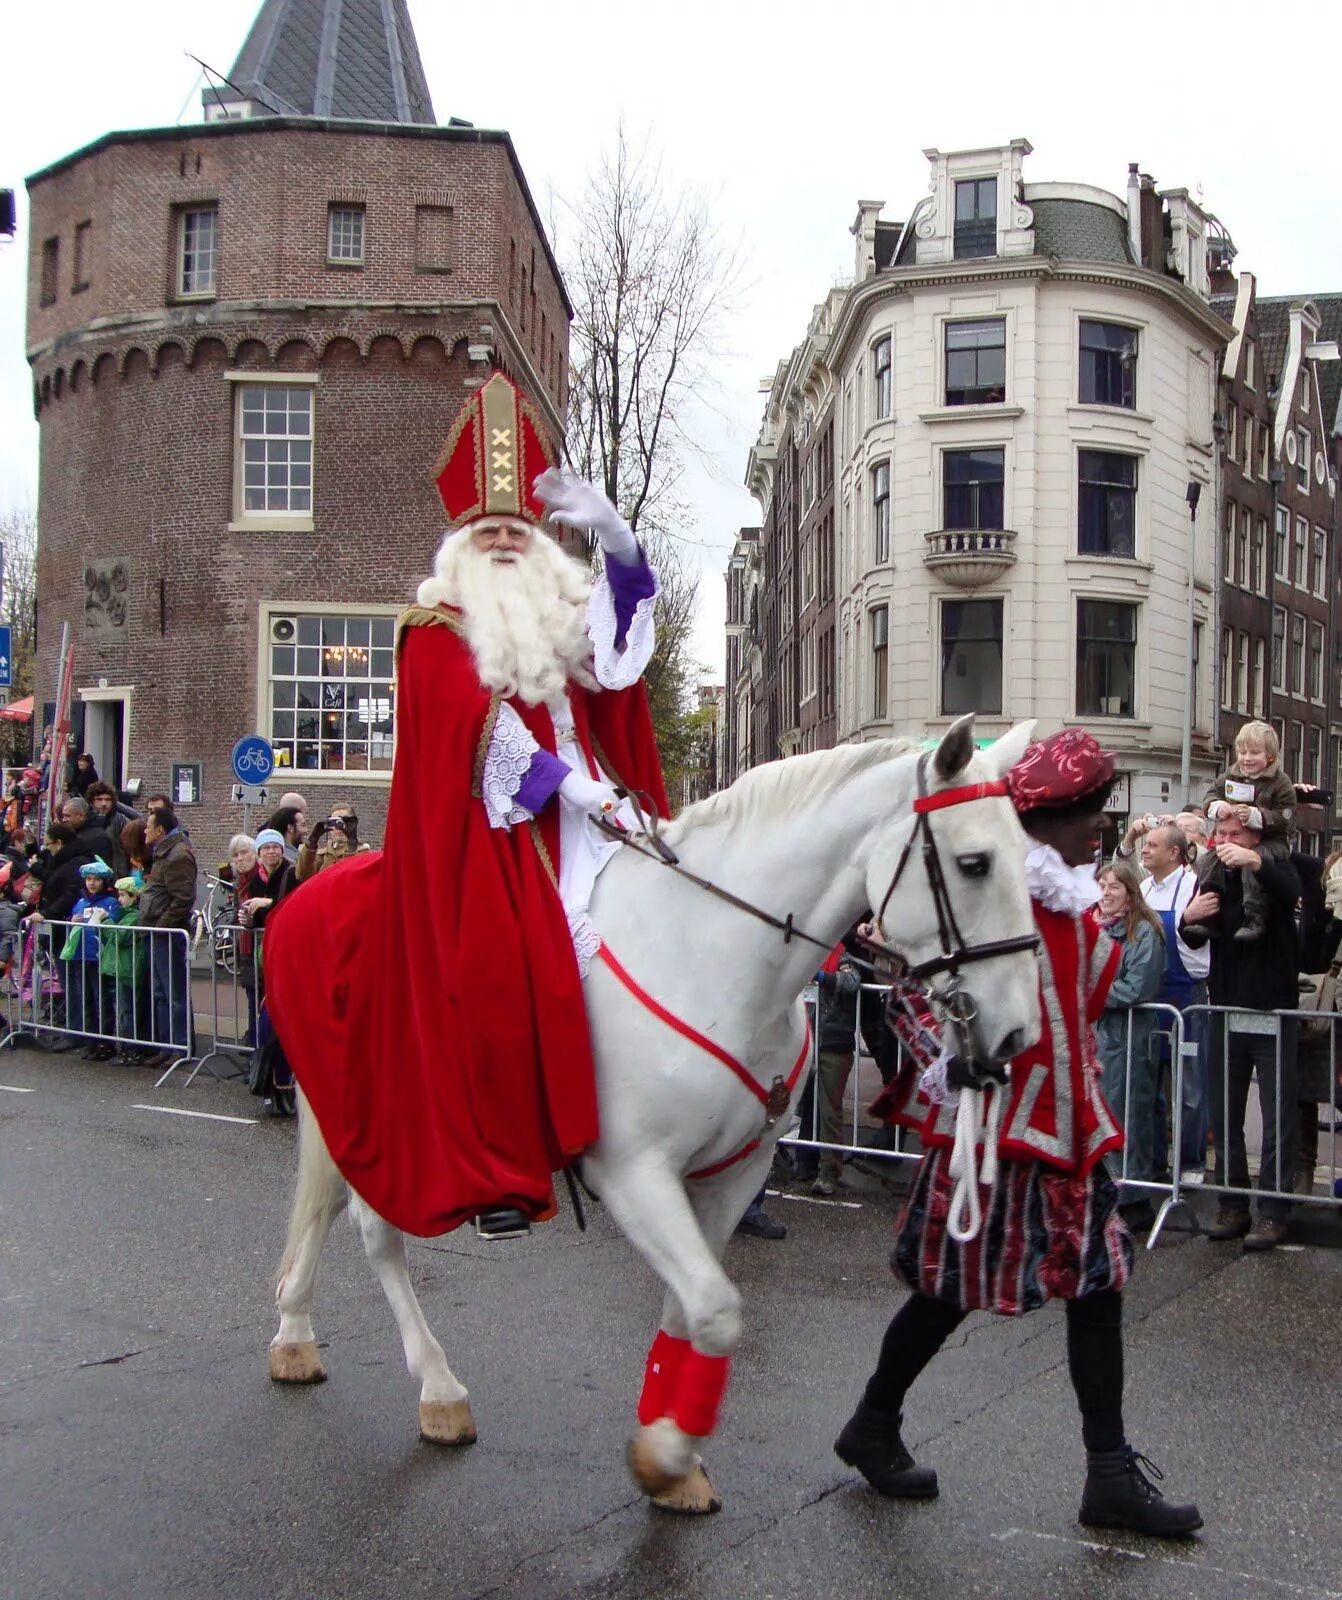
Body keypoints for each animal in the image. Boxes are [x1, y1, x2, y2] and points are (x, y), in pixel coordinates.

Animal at [267, 713, 1042, 1510]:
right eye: (974, 862)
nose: (1017, 1036)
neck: (710, 957)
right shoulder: (633, 1173)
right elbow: (716, 1309)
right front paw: (666, 1455)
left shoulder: (732, 1173)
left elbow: (691, 1311)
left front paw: (673, 1458)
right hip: (369, 1112)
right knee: (368, 1229)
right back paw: (422, 1381)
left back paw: (305, 1336)